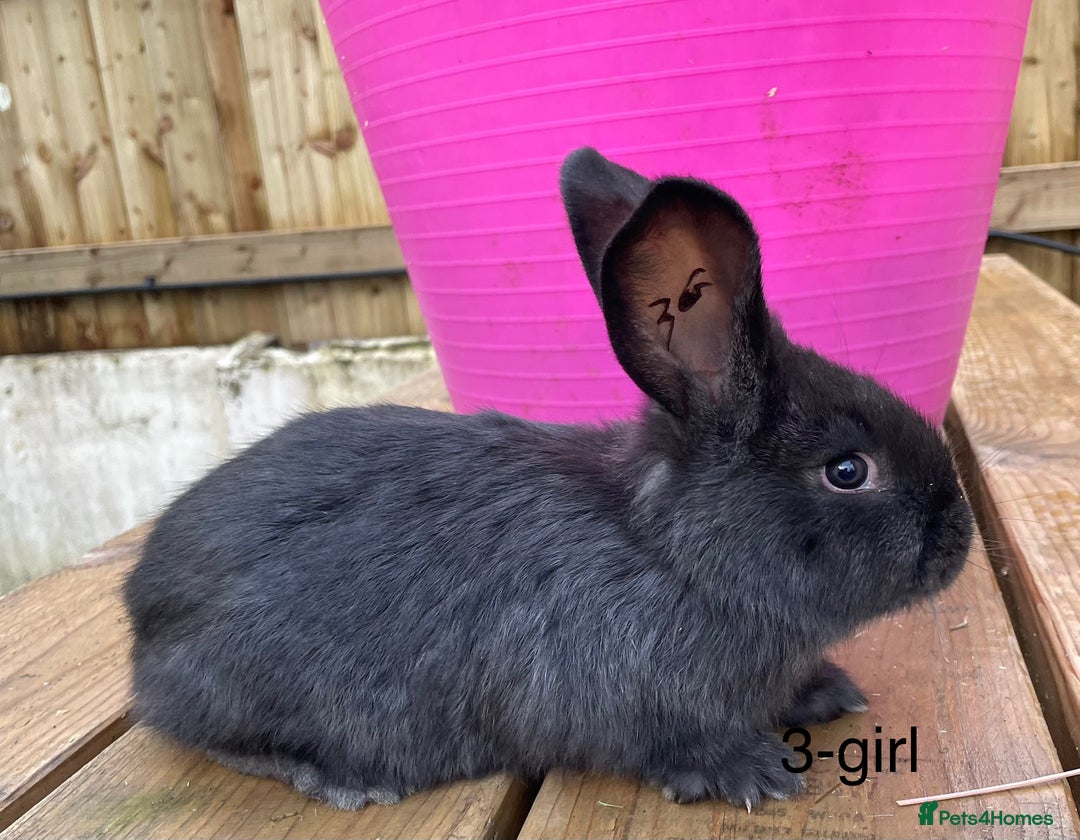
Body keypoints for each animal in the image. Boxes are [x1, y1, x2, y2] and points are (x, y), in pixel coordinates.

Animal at [123, 147, 973, 812]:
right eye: (847, 470)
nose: (958, 538)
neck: (672, 556)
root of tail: (143, 617)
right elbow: (668, 745)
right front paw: (751, 772)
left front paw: (829, 692)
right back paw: (339, 778)